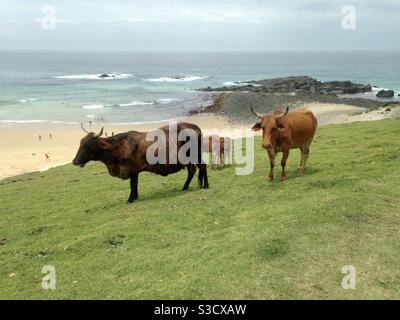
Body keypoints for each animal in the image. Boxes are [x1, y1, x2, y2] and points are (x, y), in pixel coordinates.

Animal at [72, 122, 209, 202]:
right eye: (81, 143)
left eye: (88, 146)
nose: (75, 161)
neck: (118, 148)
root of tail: (195, 126)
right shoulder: (135, 171)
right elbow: (135, 184)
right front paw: (135, 196)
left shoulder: (133, 169)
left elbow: (132, 184)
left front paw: (130, 199)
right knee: (193, 170)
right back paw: (187, 187)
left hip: (195, 154)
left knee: (201, 167)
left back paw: (205, 185)